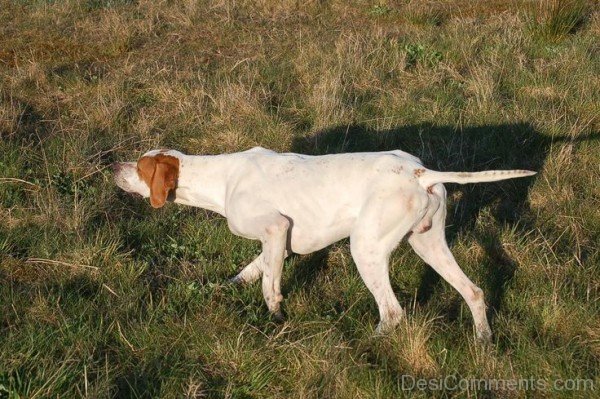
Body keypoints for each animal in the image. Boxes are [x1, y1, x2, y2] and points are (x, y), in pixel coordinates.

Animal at [112, 148, 536, 342]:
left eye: (139, 167)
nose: (114, 167)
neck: (222, 178)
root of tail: (421, 171)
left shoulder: (275, 229)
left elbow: (269, 286)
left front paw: (275, 318)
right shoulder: (281, 243)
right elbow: (251, 272)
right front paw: (225, 289)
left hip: (365, 248)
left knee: (393, 312)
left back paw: (368, 342)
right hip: (428, 245)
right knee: (474, 291)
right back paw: (483, 339)